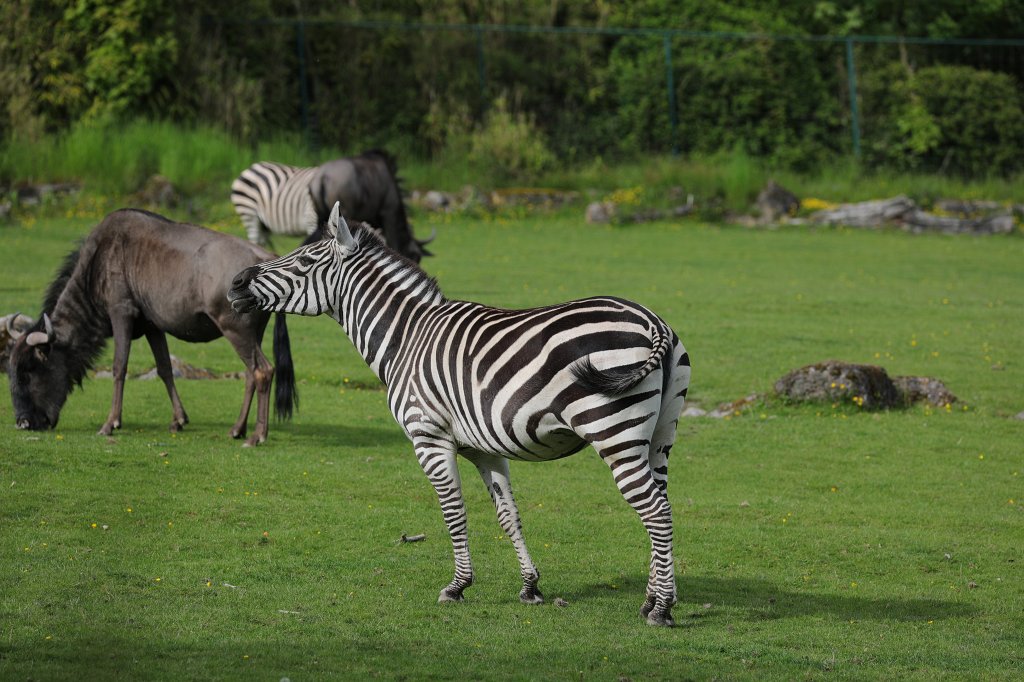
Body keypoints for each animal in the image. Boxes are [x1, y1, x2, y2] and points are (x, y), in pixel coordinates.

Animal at [227, 204, 692, 626]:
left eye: (304, 261)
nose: (234, 282)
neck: (406, 337)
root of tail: (653, 322)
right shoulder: (486, 447)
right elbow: (508, 514)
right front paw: (530, 586)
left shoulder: (428, 436)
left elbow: (452, 510)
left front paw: (457, 586)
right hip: (659, 435)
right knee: (663, 505)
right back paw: (651, 599)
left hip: (615, 432)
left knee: (655, 512)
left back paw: (662, 610)